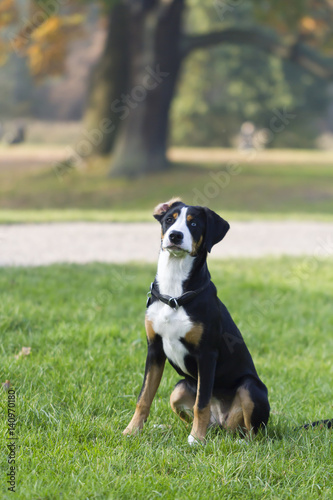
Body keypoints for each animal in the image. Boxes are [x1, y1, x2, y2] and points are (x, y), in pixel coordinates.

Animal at [122, 197, 270, 444]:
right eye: (169, 220)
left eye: (193, 224)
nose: (175, 236)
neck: (174, 294)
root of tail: (222, 421)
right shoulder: (154, 349)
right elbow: (144, 397)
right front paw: (132, 431)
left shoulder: (207, 354)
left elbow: (202, 404)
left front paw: (196, 440)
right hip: (180, 388)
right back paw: (165, 427)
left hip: (251, 388)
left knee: (253, 433)